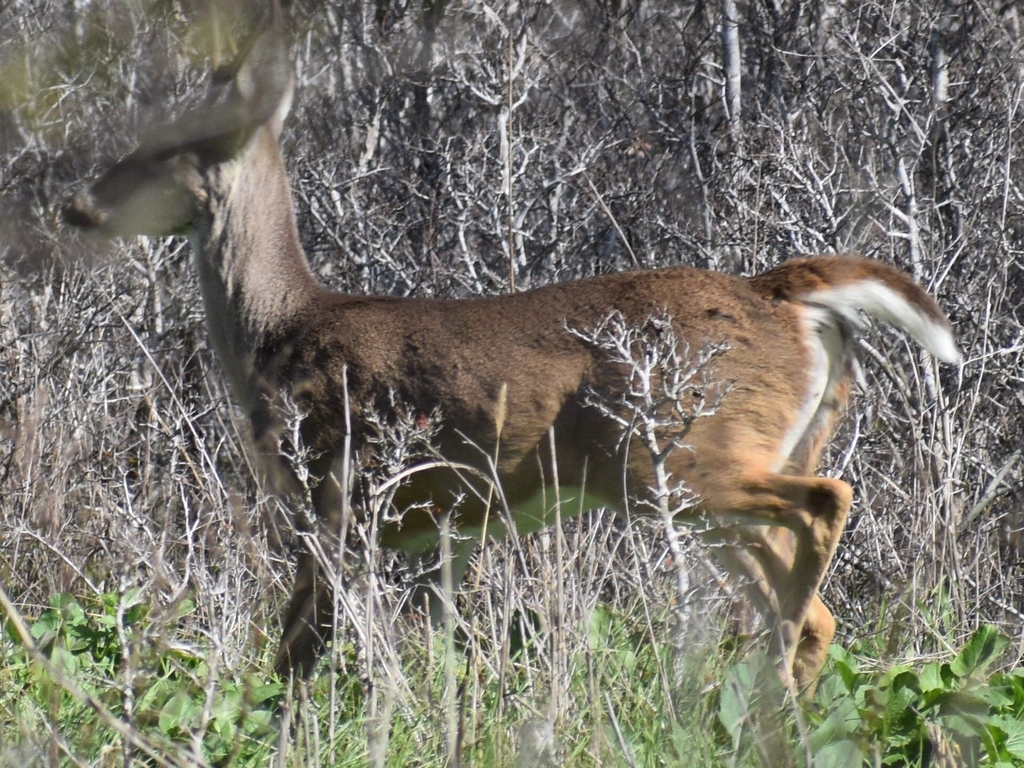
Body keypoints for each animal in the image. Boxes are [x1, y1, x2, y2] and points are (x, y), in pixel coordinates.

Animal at [64, 25, 958, 696]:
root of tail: (781, 296)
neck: (278, 328)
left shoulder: (334, 490)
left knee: (824, 509)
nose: (78, 205)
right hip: (732, 466)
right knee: (813, 605)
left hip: (683, 453)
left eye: (163, 149)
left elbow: (297, 650)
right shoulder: (436, 528)